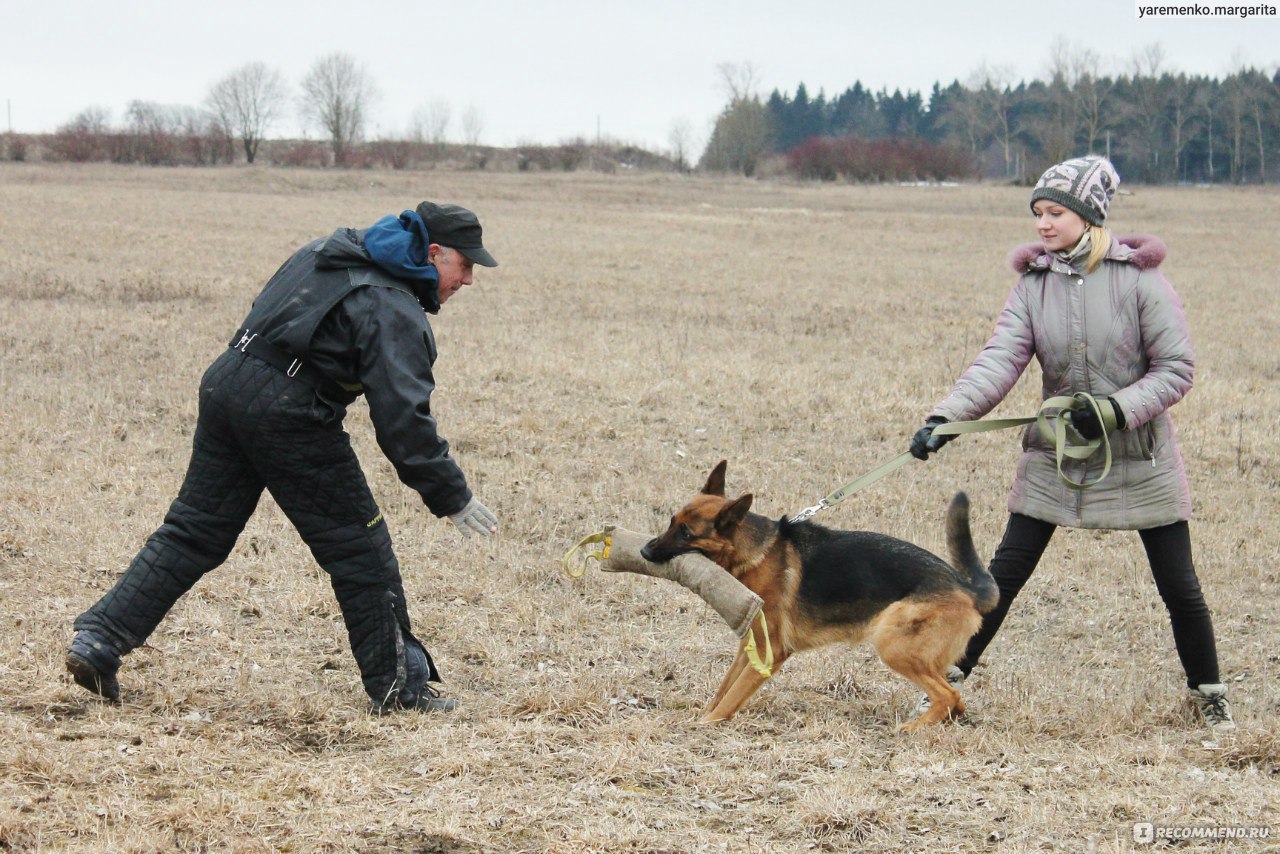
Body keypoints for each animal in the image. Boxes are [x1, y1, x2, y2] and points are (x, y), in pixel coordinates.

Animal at [640, 463, 998, 732]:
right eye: (671, 521)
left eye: (686, 533)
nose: (643, 551)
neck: (756, 551)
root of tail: (965, 587)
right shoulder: (750, 647)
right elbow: (724, 688)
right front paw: (705, 715)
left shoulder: (771, 654)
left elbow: (732, 696)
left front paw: (705, 725)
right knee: (955, 700)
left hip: (893, 644)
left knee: (948, 696)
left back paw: (912, 729)